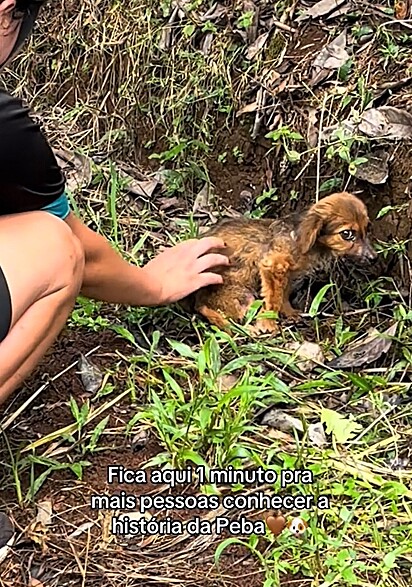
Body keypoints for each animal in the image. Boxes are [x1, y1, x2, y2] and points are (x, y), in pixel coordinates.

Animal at [190, 191, 376, 334]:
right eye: (347, 234)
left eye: (368, 229)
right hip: (243, 296)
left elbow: (284, 294)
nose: (374, 258)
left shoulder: (288, 273)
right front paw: (269, 324)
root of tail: (198, 302)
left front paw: (288, 312)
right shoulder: (272, 266)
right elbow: (273, 300)